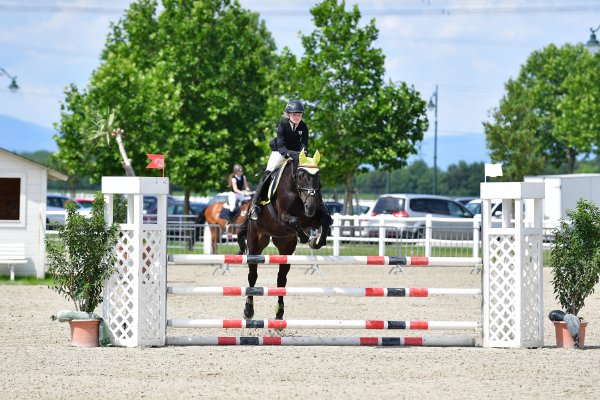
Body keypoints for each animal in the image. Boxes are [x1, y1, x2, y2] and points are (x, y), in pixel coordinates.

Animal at [238, 151, 332, 322]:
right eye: (300, 175)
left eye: (318, 176)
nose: (310, 207)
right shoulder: (283, 217)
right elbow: (295, 221)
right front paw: (305, 238)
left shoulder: (313, 217)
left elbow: (326, 219)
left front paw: (315, 241)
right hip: (255, 242)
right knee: (252, 275)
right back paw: (248, 310)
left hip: (285, 246)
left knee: (281, 279)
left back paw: (279, 312)